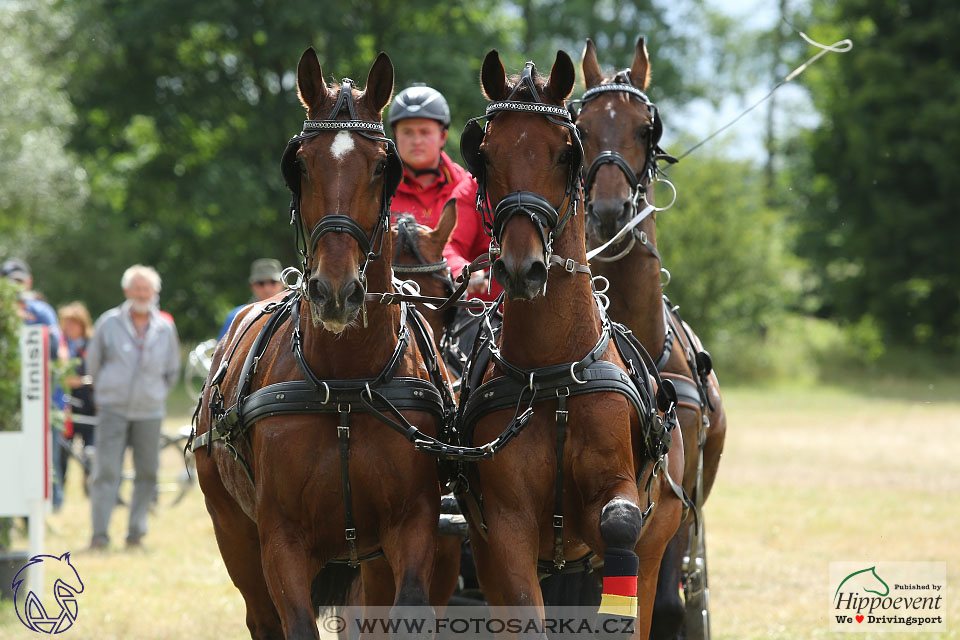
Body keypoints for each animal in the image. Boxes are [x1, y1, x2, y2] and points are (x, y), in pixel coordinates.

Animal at [193, 47, 456, 636]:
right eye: (302, 163)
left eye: (382, 166)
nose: (335, 291)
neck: (346, 383)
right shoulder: (281, 541)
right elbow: (294, 621)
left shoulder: (415, 525)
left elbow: (408, 607)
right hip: (234, 534)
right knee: (261, 615)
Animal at [454, 48, 688, 636]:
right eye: (484, 155)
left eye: (565, 152)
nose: (522, 267)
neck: (553, 372)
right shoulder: (504, 526)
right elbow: (522, 605)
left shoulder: (619, 497)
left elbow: (621, 523)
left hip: (660, 540)